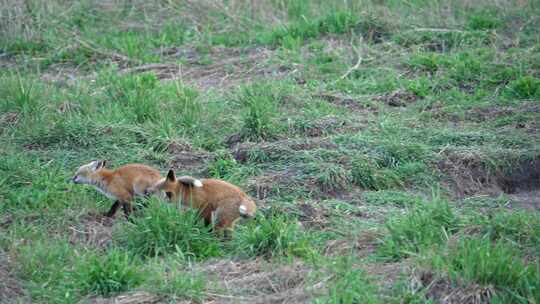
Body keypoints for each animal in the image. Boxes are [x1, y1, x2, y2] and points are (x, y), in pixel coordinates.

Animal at [69, 160, 200, 217]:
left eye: (77, 174)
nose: (70, 179)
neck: (108, 179)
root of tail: (162, 178)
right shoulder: (120, 197)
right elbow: (113, 208)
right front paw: (107, 215)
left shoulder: (126, 196)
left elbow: (127, 211)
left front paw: (130, 220)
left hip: (140, 188)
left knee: (149, 203)